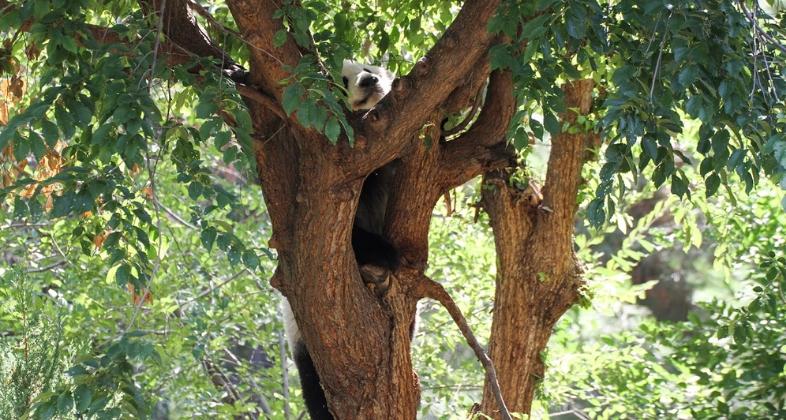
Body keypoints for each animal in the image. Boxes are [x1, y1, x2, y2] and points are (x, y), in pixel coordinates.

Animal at [280, 60, 398, 420]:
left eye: (371, 66)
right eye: (341, 79)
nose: (369, 80)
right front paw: (388, 253)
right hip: (300, 331)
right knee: (313, 386)